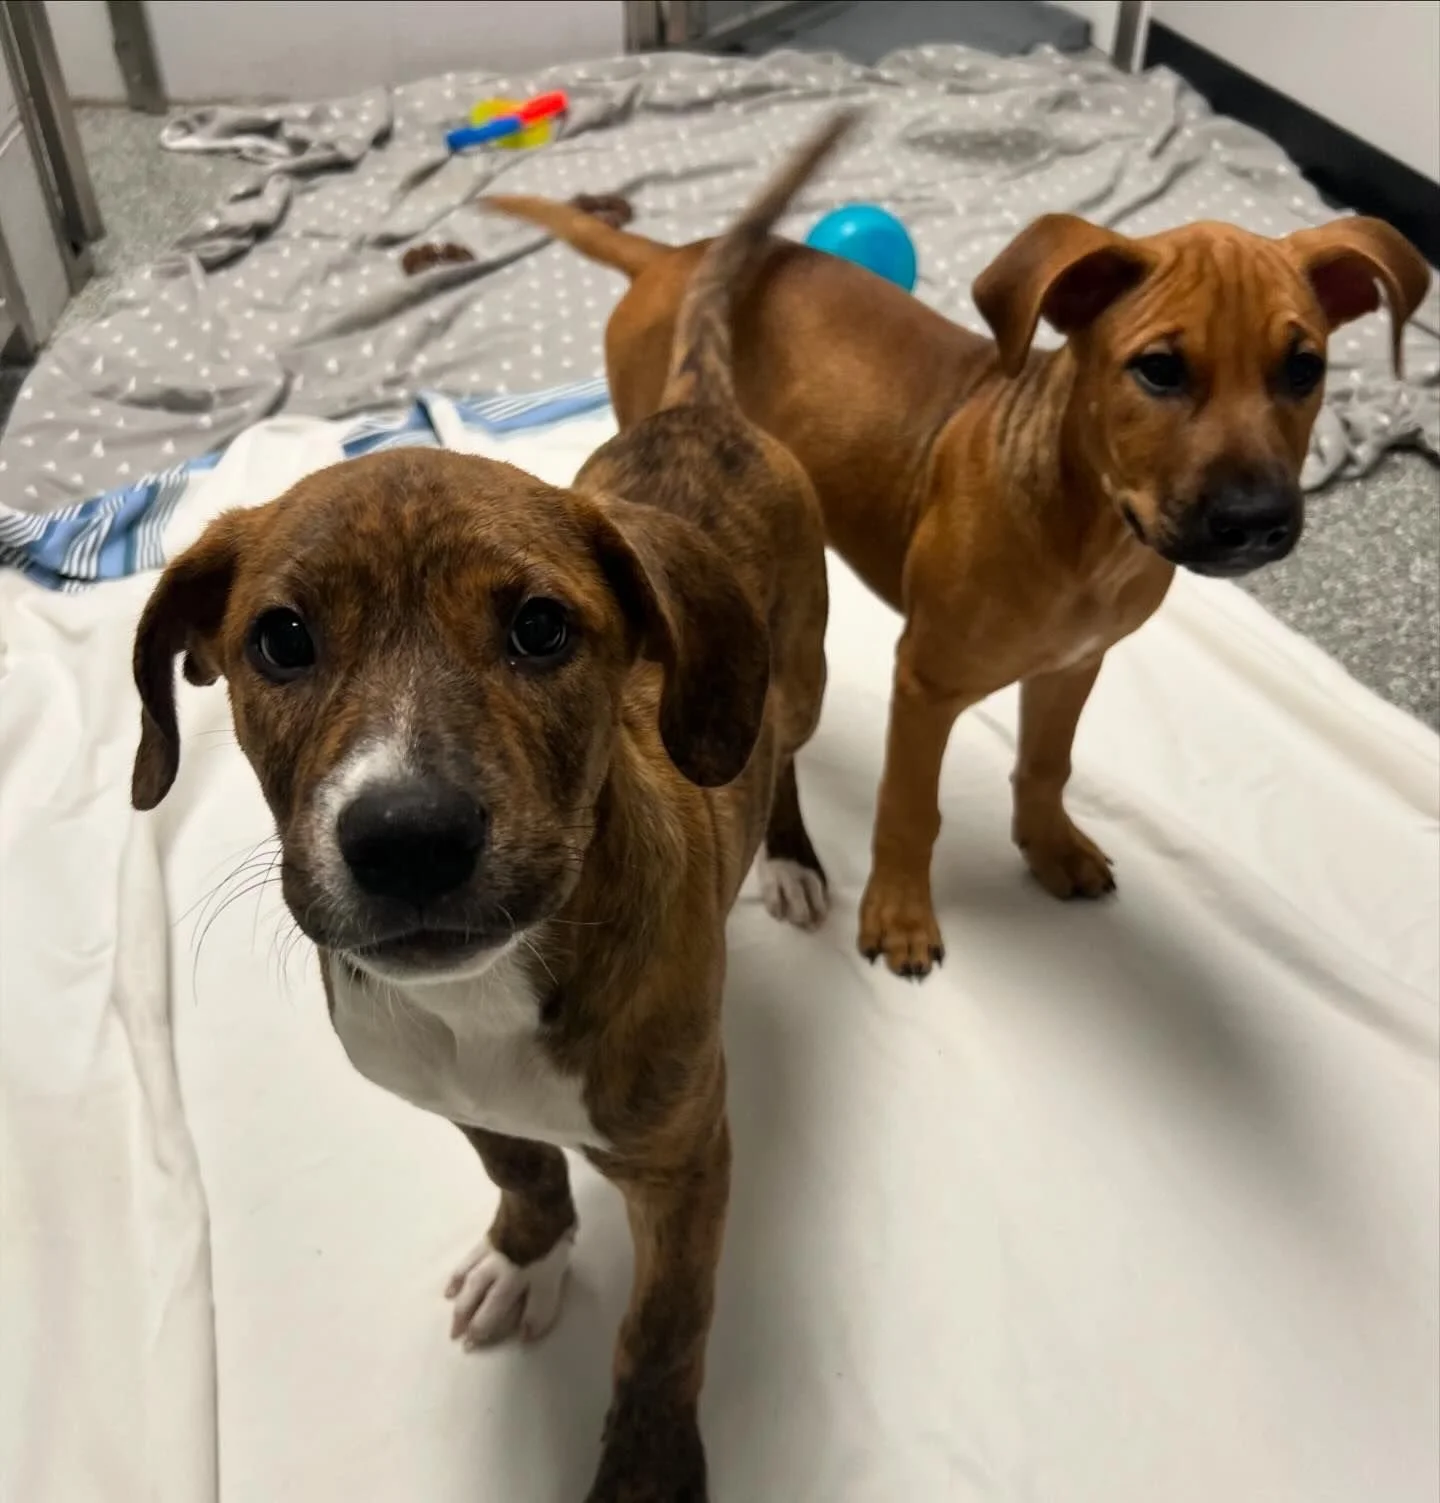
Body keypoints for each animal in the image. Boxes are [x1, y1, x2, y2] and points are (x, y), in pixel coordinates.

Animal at [129, 114, 853, 1501]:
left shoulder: (691, 1155)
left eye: (540, 628)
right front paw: (528, 1256)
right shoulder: (441, 1089)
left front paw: (644, 1468)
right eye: (280, 641)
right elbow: (520, 1164)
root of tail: (698, 410)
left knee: (782, 754)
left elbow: (664, 1329)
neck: (494, 996)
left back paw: (787, 859)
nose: (406, 840)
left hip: (792, 679)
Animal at [485, 187, 1430, 978]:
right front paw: (901, 919)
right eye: (1159, 369)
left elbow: (1047, 762)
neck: (1088, 528)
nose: (1256, 518)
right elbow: (910, 809)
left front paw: (1048, 846)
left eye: (1304, 368)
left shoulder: (1074, 665)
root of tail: (671, 256)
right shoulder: (927, 682)